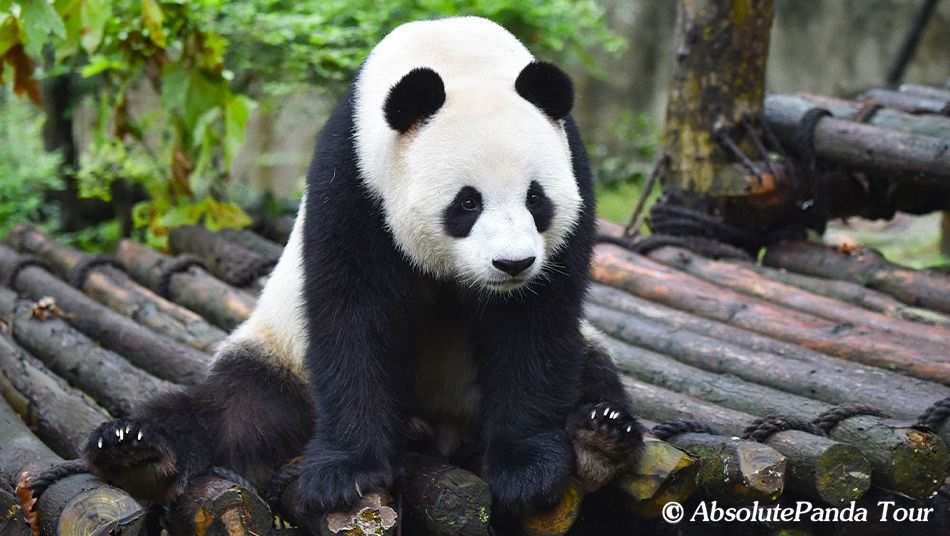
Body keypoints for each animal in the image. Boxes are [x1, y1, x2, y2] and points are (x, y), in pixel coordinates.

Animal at [82, 16, 643, 524]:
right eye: (467, 202)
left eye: (536, 198)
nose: (513, 263)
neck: (458, 54)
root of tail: (440, 430)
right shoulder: (354, 180)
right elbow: (354, 316)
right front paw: (344, 476)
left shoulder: (573, 181)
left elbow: (535, 328)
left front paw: (528, 470)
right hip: (284, 358)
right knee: (235, 408)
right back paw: (136, 450)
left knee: (593, 371)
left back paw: (600, 436)